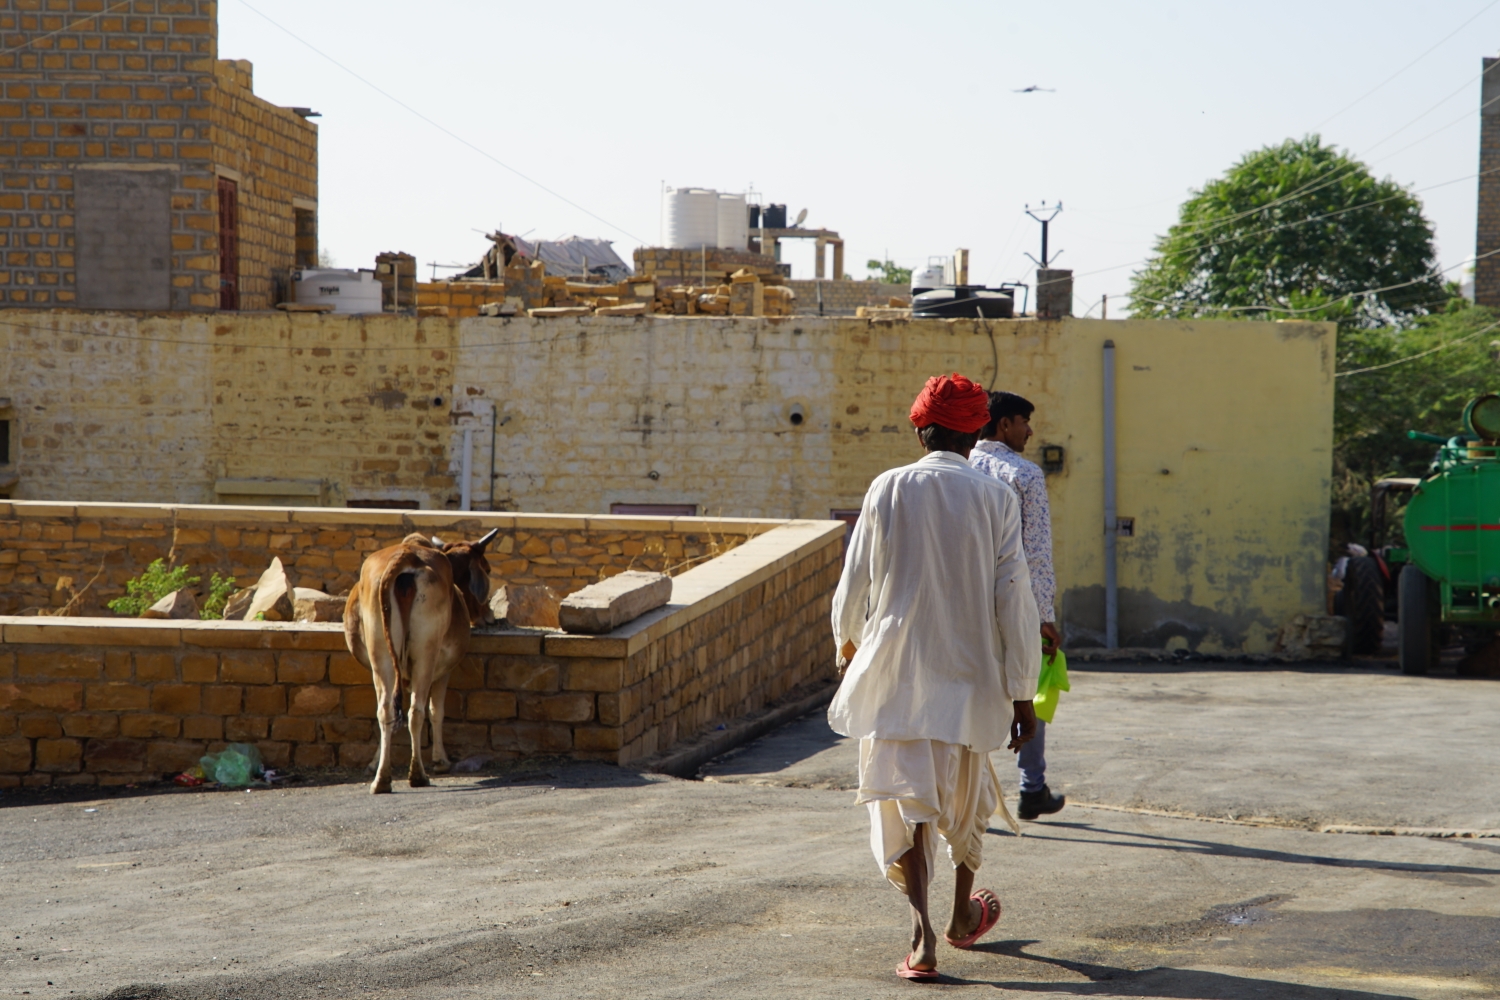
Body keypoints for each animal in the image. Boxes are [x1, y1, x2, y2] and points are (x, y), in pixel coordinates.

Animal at [343, 527, 498, 791]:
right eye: (486, 569)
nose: (489, 615)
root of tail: (404, 557)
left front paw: (374, 762)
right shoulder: (444, 669)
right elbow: (437, 711)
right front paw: (441, 760)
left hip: (380, 653)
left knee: (385, 708)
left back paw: (381, 779)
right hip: (426, 652)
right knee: (417, 711)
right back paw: (418, 775)